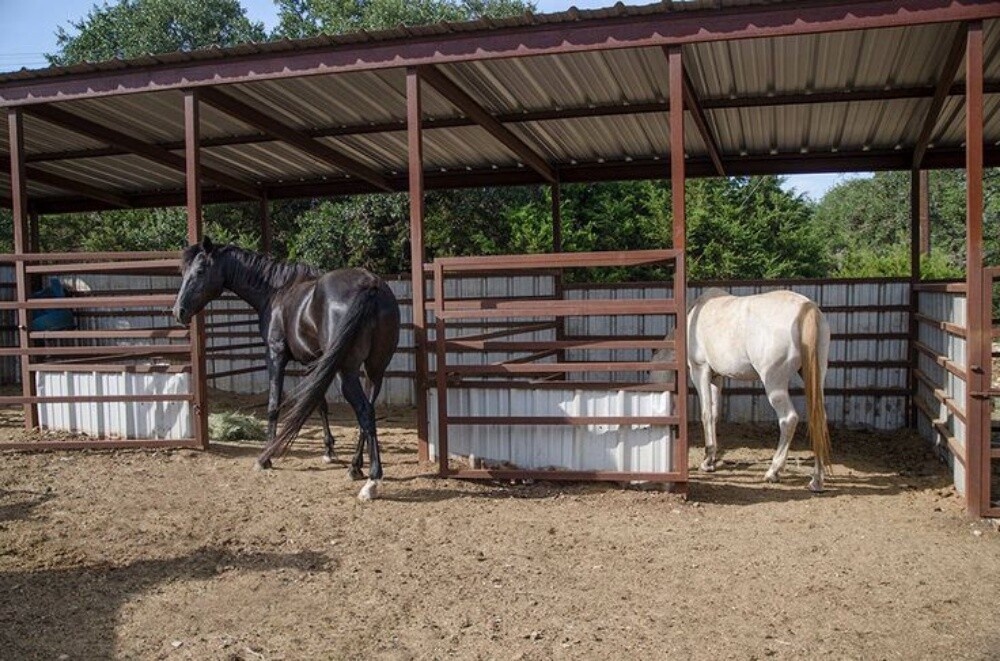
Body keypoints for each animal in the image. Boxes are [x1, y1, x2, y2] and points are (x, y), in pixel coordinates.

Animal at [172, 237, 400, 501]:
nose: (178, 311)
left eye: (200, 271)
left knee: (364, 411)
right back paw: (355, 467)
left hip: (348, 372)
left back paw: (372, 481)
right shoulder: (315, 361)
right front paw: (328, 450)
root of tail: (370, 285)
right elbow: (319, 403)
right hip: (375, 369)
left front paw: (265, 457)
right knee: (369, 410)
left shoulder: (276, 355)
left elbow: (273, 404)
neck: (275, 292)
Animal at [653, 288, 832, 492]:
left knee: (789, 419)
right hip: (816, 376)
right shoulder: (717, 377)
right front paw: (711, 460)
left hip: (774, 382)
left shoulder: (700, 370)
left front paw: (707, 461)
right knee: (819, 419)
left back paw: (773, 471)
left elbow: (706, 414)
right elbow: (714, 414)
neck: (692, 317)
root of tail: (806, 308)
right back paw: (816, 480)